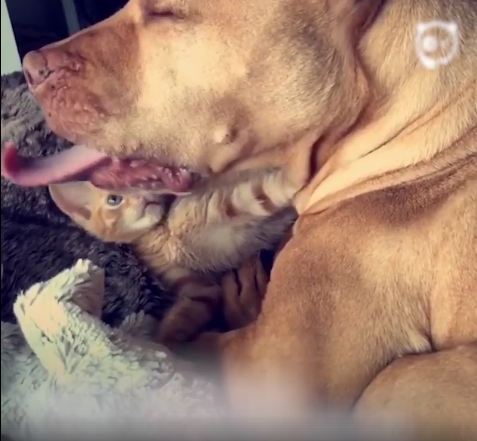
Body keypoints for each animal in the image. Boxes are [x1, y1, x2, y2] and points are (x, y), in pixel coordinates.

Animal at [47, 170, 294, 342]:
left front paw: (297, 171)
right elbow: (184, 319)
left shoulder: (222, 203)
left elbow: (263, 191)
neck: (164, 232)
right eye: (114, 199)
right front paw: (166, 349)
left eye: (139, 183)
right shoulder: (198, 288)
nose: (145, 198)